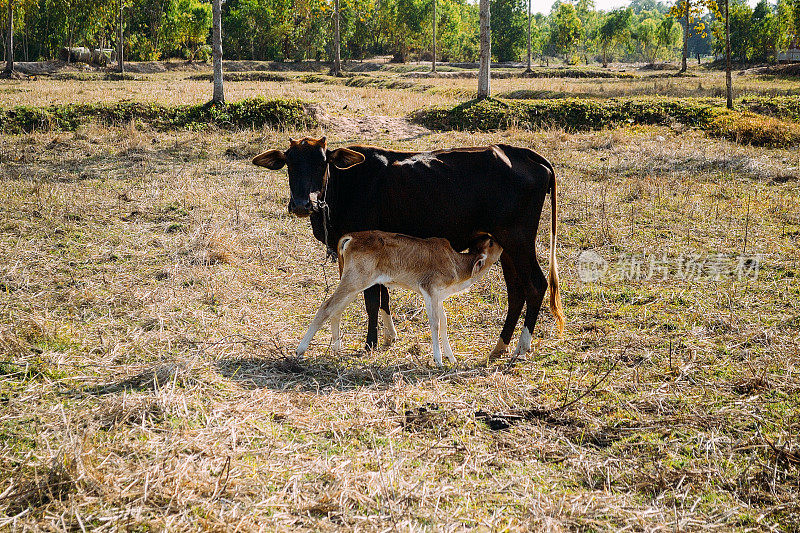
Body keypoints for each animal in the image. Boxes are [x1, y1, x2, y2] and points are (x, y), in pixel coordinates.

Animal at [253, 136, 564, 358]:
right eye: (290, 164)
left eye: (322, 163)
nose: (303, 204)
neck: (348, 184)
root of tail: (524, 154)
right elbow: (383, 296)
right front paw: (389, 336)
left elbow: (373, 299)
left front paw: (371, 342)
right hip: (506, 247)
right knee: (516, 292)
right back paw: (499, 346)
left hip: (519, 241)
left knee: (535, 285)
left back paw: (521, 347)